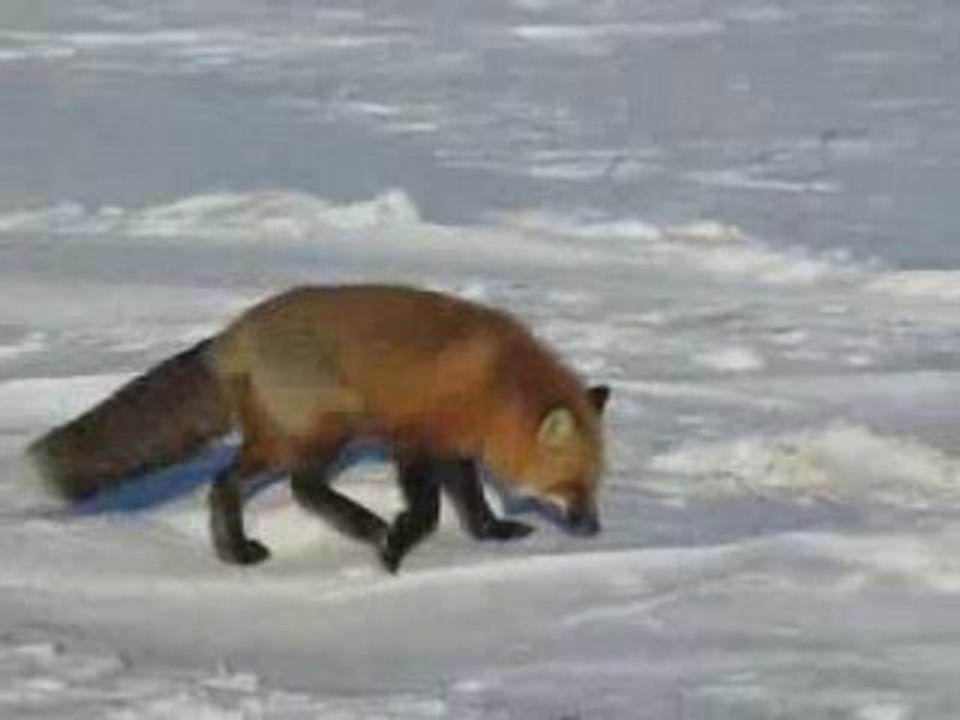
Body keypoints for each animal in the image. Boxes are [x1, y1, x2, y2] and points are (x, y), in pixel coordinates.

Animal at [28, 284, 610, 572]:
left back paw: (236, 553)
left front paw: (493, 534)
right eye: (571, 486)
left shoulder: (454, 447)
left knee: (225, 483)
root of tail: (233, 334)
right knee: (303, 486)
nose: (594, 529)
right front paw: (397, 546)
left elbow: (473, 502)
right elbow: (427, 509)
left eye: (595, 484)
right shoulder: (414, 440)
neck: (496, 384)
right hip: (328, 430)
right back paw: (369, 527)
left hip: (275, 440)